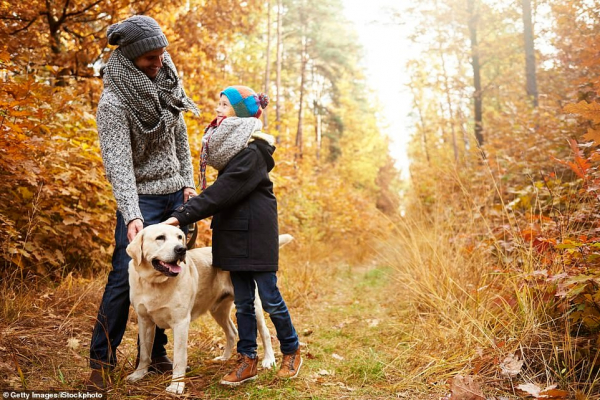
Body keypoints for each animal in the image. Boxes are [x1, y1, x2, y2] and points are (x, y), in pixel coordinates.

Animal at [125, 225, 292, 394]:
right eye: (160, 237)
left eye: (179, 237)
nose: (181, 249)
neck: (155, 283)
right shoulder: (144, 321)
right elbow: (145, 351)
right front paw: (139, 374)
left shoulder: (180, 323)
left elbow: (179, 358)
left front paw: (177, 385)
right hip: (218, 311)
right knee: (232, 332)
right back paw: (224, 357)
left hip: (255, 306)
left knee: (265, 332)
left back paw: (269, 360)